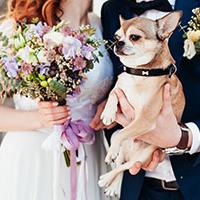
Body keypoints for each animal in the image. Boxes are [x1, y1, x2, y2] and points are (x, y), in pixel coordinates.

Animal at [99, 11, 185, 197]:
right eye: (116, 36)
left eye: (134, 37)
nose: (118, 42)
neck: (139, 73)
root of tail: (131, 153)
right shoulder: (120, 88)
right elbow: (113, 93)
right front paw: (108, 113)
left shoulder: (144, 119)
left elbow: (125, 132)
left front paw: (111, 151)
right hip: (123, 147)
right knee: (120, 163)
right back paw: (112, 185)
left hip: (140, 158)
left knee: (124, 166)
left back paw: (107, 177)